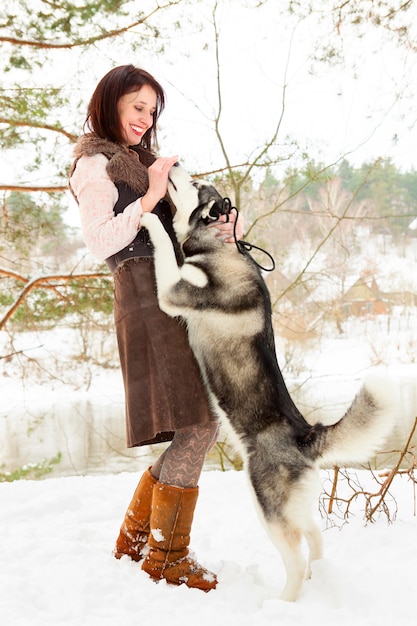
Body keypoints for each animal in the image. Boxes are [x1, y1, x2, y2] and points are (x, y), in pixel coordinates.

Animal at [141, 162, 396, 600]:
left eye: (194, 183)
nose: (171, 163)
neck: (219, 247)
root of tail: (306, 435)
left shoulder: (175, 292)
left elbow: (166, 245)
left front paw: (147, 217)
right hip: (292, 507)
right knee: (314, 535)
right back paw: (318, 577)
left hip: (268, 507)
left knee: (295, 556)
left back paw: (284, 601)